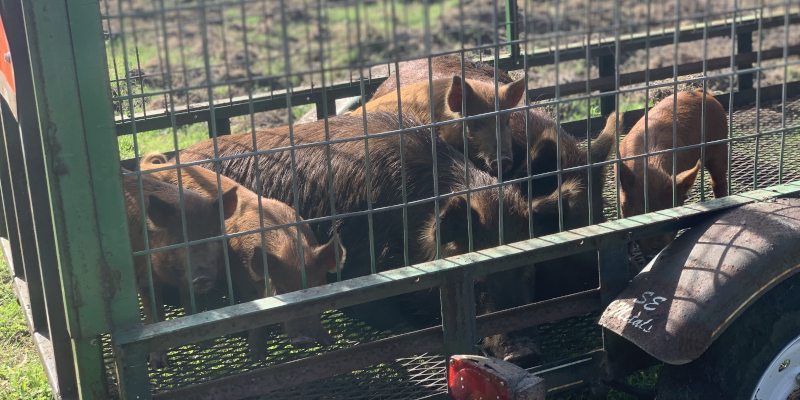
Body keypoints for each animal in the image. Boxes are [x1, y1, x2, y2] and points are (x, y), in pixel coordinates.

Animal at [120, 170, 236, 368]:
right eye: (180, 239)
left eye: (213, 235)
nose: (202, 276)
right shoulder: (144, 280)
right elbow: (156, 317)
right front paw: (158, 364)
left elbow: (189, 305)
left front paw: (205, 343)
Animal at [138, 153, 344, 356]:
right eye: (280, 290)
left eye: (318, 287)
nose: (303, 339)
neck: (291, 249)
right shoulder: (240, 275)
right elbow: (251, 307)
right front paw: (257, 354)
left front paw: (328, 341)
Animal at [616, 89, 728, 260]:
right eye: (639, 214)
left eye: (671, 214)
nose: (653, 253)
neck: (651, 168)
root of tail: (699, 91)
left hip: (720, 145)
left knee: (718, 179)